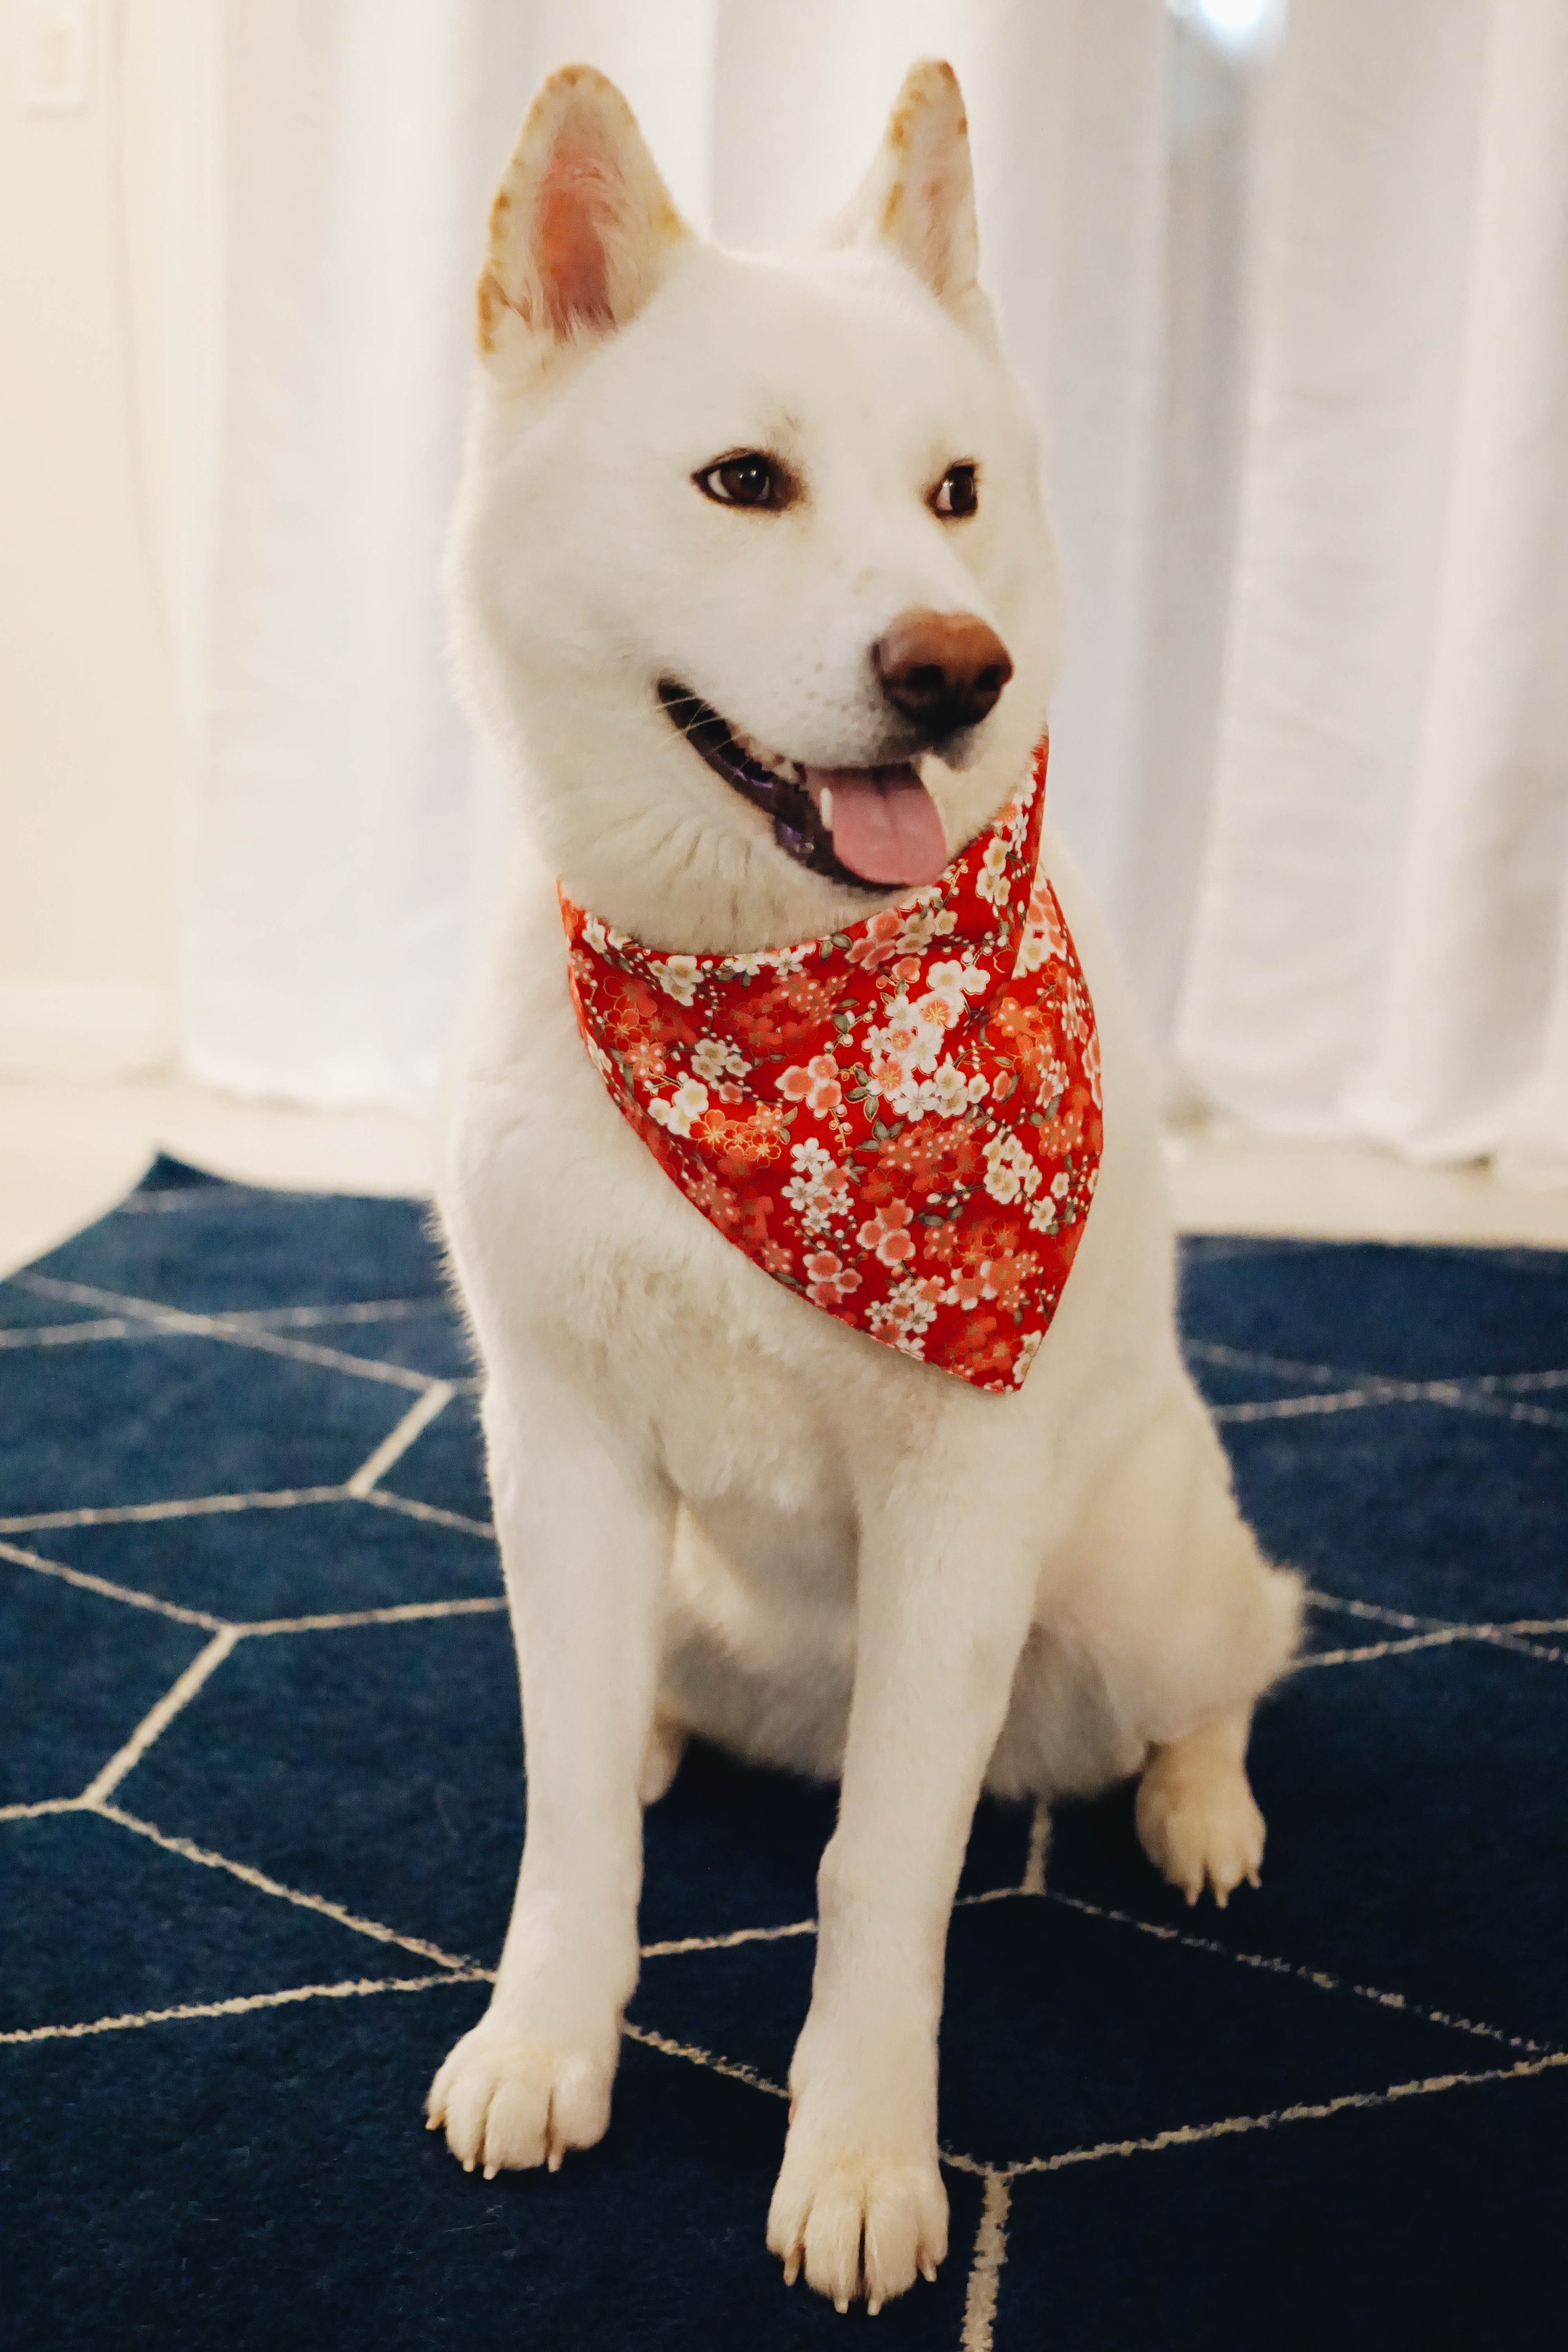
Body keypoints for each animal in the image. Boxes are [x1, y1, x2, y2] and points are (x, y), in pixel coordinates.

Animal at [425, 55, 1298, 2314]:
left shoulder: (955, 1511)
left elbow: (883, 1877)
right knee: (636, 1710)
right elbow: (571, 1810)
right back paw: (666, 1723)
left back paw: (1202, 1809)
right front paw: (549, 2034)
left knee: (1243, 1653)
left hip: (1136, 1581)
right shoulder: (558, 1445)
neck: (770, 1011)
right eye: (745, 483)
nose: (954, 669)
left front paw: (858, 2154)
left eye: (958, 492)